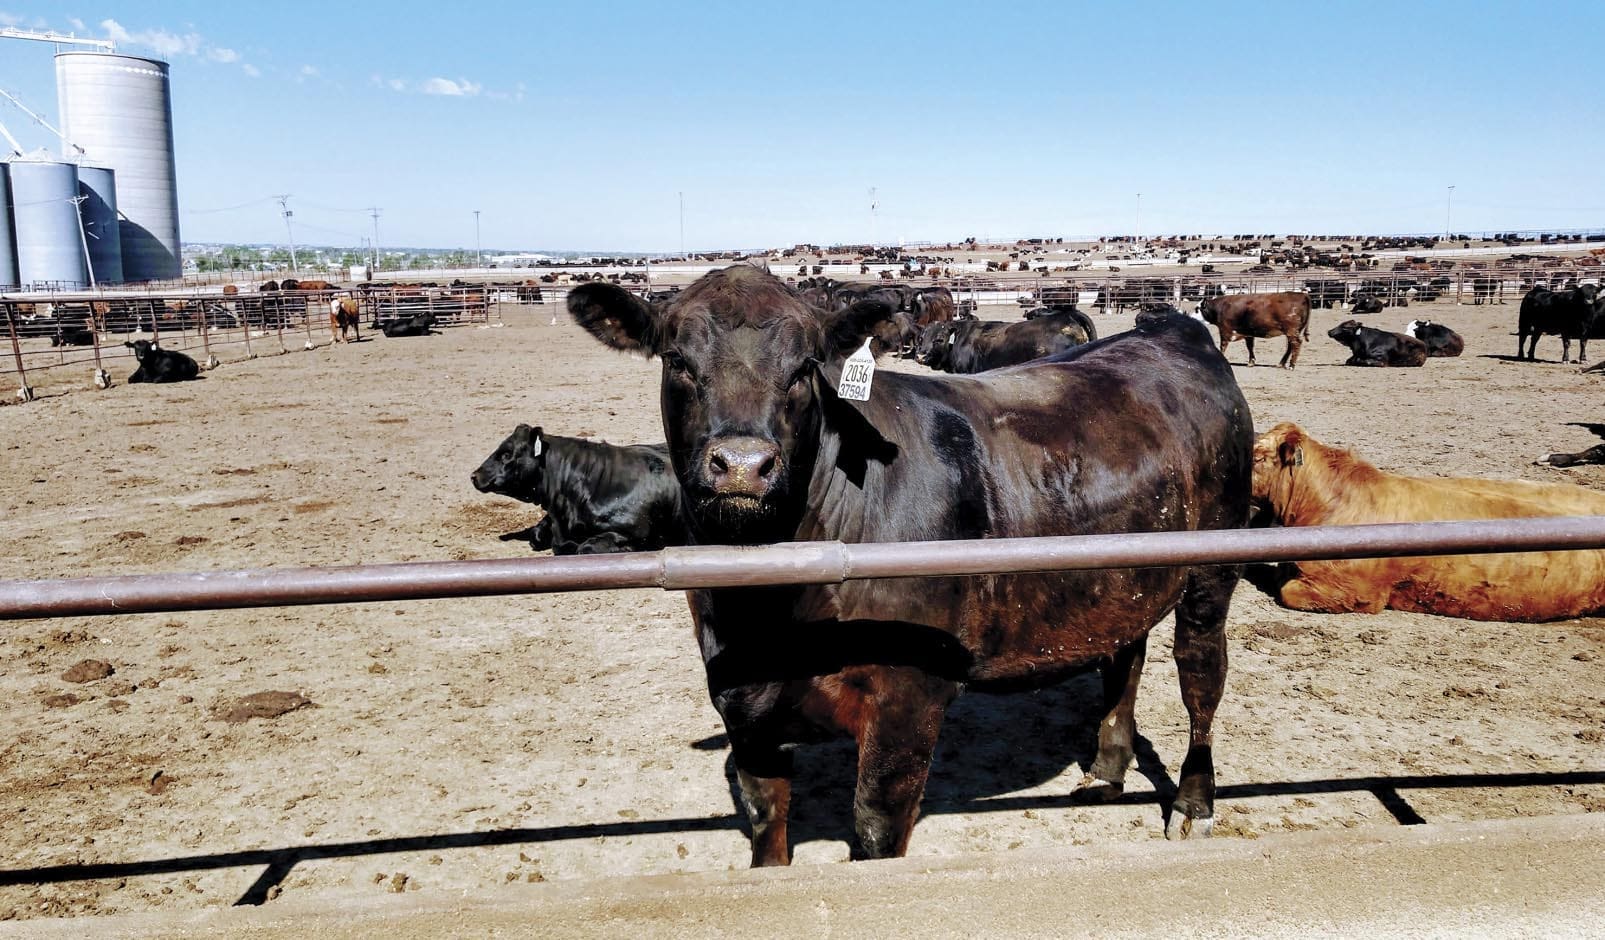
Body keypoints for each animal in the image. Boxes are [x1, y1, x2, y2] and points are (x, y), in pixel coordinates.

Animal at [564, 263, 1251, 866]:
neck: (767, 607)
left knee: (1200, 680)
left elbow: (874, 829)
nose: (741, 465)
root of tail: (1169, 328)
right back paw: (1106, 773)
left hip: (1211, 574)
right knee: (1124, 659)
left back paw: (1192, 805)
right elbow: (768, 828)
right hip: (1123, 580)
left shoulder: (907, 702)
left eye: (804, 367)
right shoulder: (742, 706)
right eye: (677, 360)